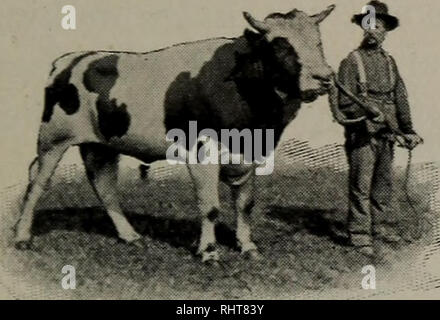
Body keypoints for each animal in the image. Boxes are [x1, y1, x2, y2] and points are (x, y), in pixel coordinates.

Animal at [14, 6, 336, 264]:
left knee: (104, 186)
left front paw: (247, 247)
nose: (325, 77)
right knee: (37, 184)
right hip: (52, 138)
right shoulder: (203, 152)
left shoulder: (251, 152)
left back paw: (130, 236)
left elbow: (245, 204)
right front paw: (208, 252)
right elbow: (210, 207)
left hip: (101, 144)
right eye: (281, 47)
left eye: (318, 42)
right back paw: (22, 237)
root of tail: (69, 59)